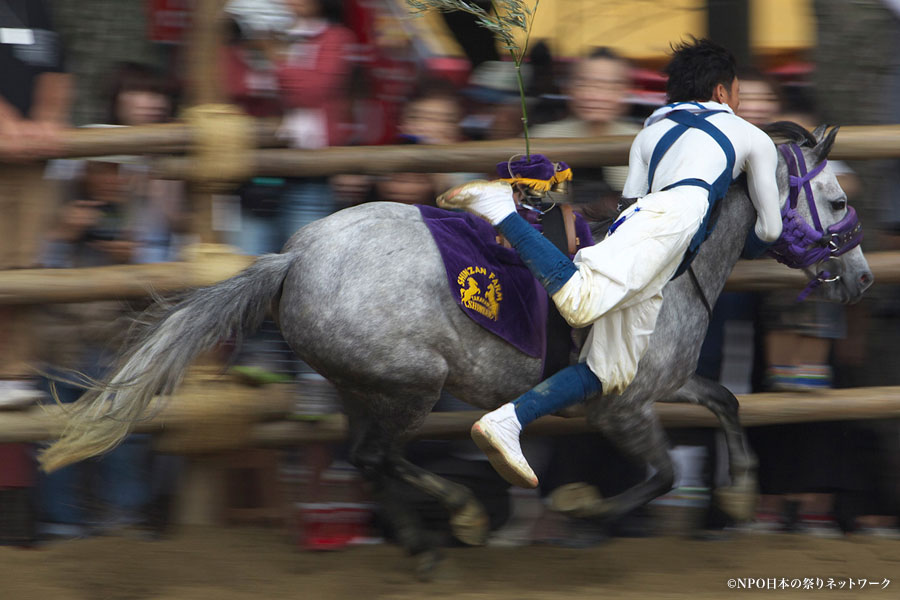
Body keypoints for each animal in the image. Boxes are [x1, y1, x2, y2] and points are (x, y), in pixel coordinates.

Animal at [42, 120, 872, 572]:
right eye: (834, 200)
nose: (862, 278)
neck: (678, 258)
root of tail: (294, 257)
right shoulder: (620, 404)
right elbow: (663, 474)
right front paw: (581, 514)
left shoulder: (660, 385)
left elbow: (727, 399)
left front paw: (740, 492)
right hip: (411, 383)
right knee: (382, 455)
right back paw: (463, 515)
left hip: (361, 385)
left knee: (366, 459)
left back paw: (426, 540)